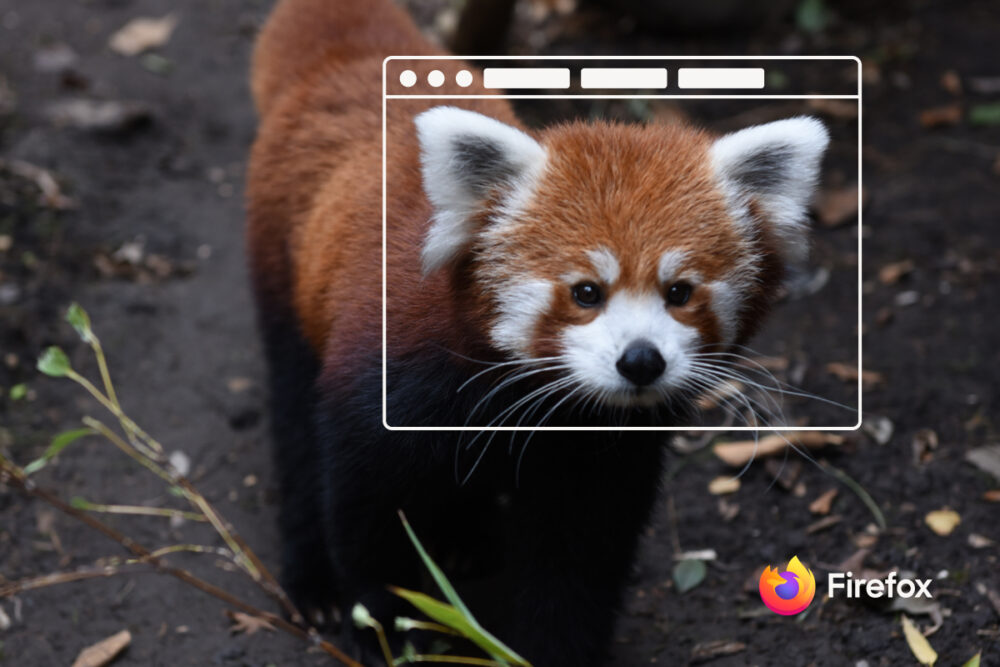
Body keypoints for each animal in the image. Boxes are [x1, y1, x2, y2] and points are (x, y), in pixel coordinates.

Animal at [248, 0, 828, 664]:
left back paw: (469, 538)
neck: (537, 401)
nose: (641, 361)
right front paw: (385, 628)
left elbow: (577, 559)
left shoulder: (604, 448)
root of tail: (346, 64)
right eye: (586, 293)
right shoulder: (390, 383)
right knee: (296, 427)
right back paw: (312, 580)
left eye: (679, 292)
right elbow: (368, 517)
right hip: (285, 281)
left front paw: (553, 649)